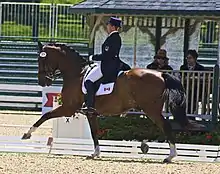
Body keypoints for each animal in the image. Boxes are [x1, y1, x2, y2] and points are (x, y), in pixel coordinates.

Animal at [21, 41, 201, 163]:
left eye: (41, 60)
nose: (43, 81)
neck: (76, 73)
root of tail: (161, 74)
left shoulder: (68, 108)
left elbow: (45, 116)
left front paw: (27, 134)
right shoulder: (90, 114)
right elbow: (94, 132)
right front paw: (95, 153)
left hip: (151, 109)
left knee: (166, 126)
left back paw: (170, 156)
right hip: (150, 109)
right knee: (161, 126)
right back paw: (155, 149)